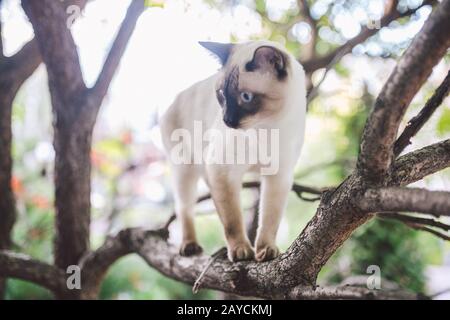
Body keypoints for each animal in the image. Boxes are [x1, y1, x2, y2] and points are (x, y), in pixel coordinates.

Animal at [160, 40, 308, 262]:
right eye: (221, 94)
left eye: (246, 97)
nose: (227, 120)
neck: (267, 127)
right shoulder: (223, 171)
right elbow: (232, 221)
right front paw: (241, 251)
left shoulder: (278, 177)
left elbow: (270, 219)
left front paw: (266, 250)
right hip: (185, 170)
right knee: (184, 208)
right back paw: (189, 245)